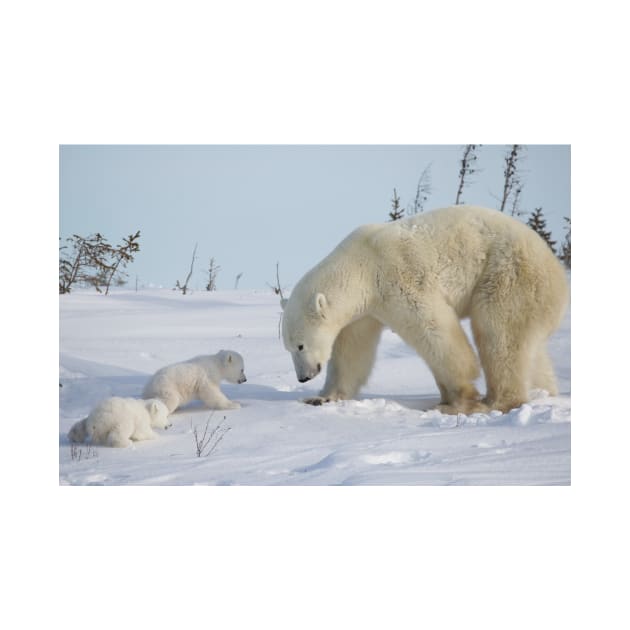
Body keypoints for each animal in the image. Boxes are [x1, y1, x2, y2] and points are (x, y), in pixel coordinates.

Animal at [284, 205, 572, 418]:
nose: (303, 377)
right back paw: (543, 393)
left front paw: (458, 398)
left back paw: (492, 403)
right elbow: (351, 352)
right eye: (289, 348)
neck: (361, 265)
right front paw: (321, 398)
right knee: (529, 348)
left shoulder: (396, 275)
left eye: (300, 345)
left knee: (499, 334)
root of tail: (557, 273)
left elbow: (433, 328)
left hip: (508, 275)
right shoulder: (364, 312)